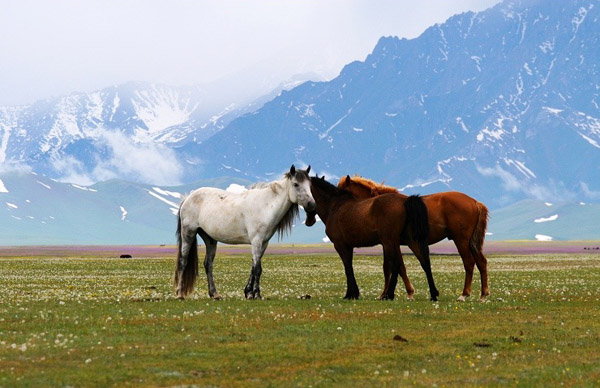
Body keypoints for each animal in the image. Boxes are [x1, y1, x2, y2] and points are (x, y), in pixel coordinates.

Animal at [173, 165, 314, 298]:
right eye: (296, 184)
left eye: (309, 184)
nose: (311, 204)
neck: (265, 205)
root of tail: (187, 198)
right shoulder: (256, 241)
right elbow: (257, 269)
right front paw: (256, 294)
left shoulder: (263, 243)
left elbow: (254, 267)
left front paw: (249, 293)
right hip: (188, 234)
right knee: (183, 261)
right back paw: (180, 294)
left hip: (210, 239)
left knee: (208, 264)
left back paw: (215, 294)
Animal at [304, 176, 436, 300]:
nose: (309, 221)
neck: (335, 206)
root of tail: (405, 201)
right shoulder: (351, 246)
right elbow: (352, 267)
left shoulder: (340, 245)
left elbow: (348, 268)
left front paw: (351, 294)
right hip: (410, 240)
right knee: (424, 262)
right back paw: (433, 294)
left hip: (390, 241)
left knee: (397, 264)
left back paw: (389, 294)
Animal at [338, 174, 492, 302]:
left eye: (342, 191)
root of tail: (474, 202)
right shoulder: (389, 244)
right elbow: (389, 267)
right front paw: (387, 294)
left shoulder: (390, 243)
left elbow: (397, 267)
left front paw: (407, 293)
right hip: (471, 243)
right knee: (481, 263)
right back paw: (483, 295)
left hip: (461, 241)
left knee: (469, 263)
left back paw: (464, 294)